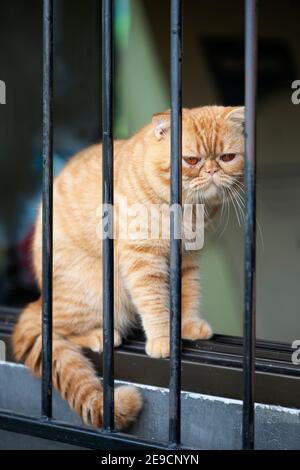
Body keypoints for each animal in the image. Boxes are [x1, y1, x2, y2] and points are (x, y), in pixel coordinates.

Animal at [12, 105, 245, 430]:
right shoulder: (142, 259)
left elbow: (187, 295)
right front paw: (162, 340)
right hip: (99, 294)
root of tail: (39, 298)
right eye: (191, 160)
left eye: (227, 157)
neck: (188, 209)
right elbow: (155, 305)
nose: (212, 171)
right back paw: (100, 336)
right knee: (52, 328)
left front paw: (186, 326)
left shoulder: (187, 259)